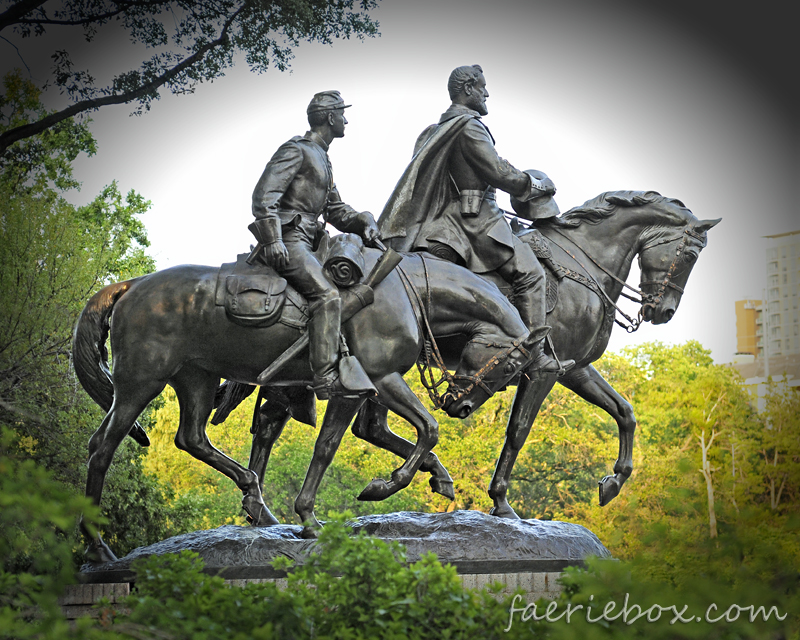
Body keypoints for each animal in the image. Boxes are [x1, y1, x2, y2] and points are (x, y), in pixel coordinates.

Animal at [75, 248, 540, 556]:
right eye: (508, 368)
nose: (461, 406)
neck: (407, 294)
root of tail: (132, 284)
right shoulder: (375, 381)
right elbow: (420, 430)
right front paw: (375, 490)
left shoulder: (360, 390)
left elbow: (342, 444)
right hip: (141, 383)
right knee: (102, 448)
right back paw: (97, 547)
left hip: (196, 378)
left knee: (191, 438)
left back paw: (255, 496)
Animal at [242, 190, 720, 520]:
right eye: (689, 253)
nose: (662, 312)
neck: (580, 265)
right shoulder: (545, 370)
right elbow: (519, 430)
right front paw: (502, 500)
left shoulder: (574, 369)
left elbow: (625, 411)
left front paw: (614, 482)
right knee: (288, 423)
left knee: (329, 425)